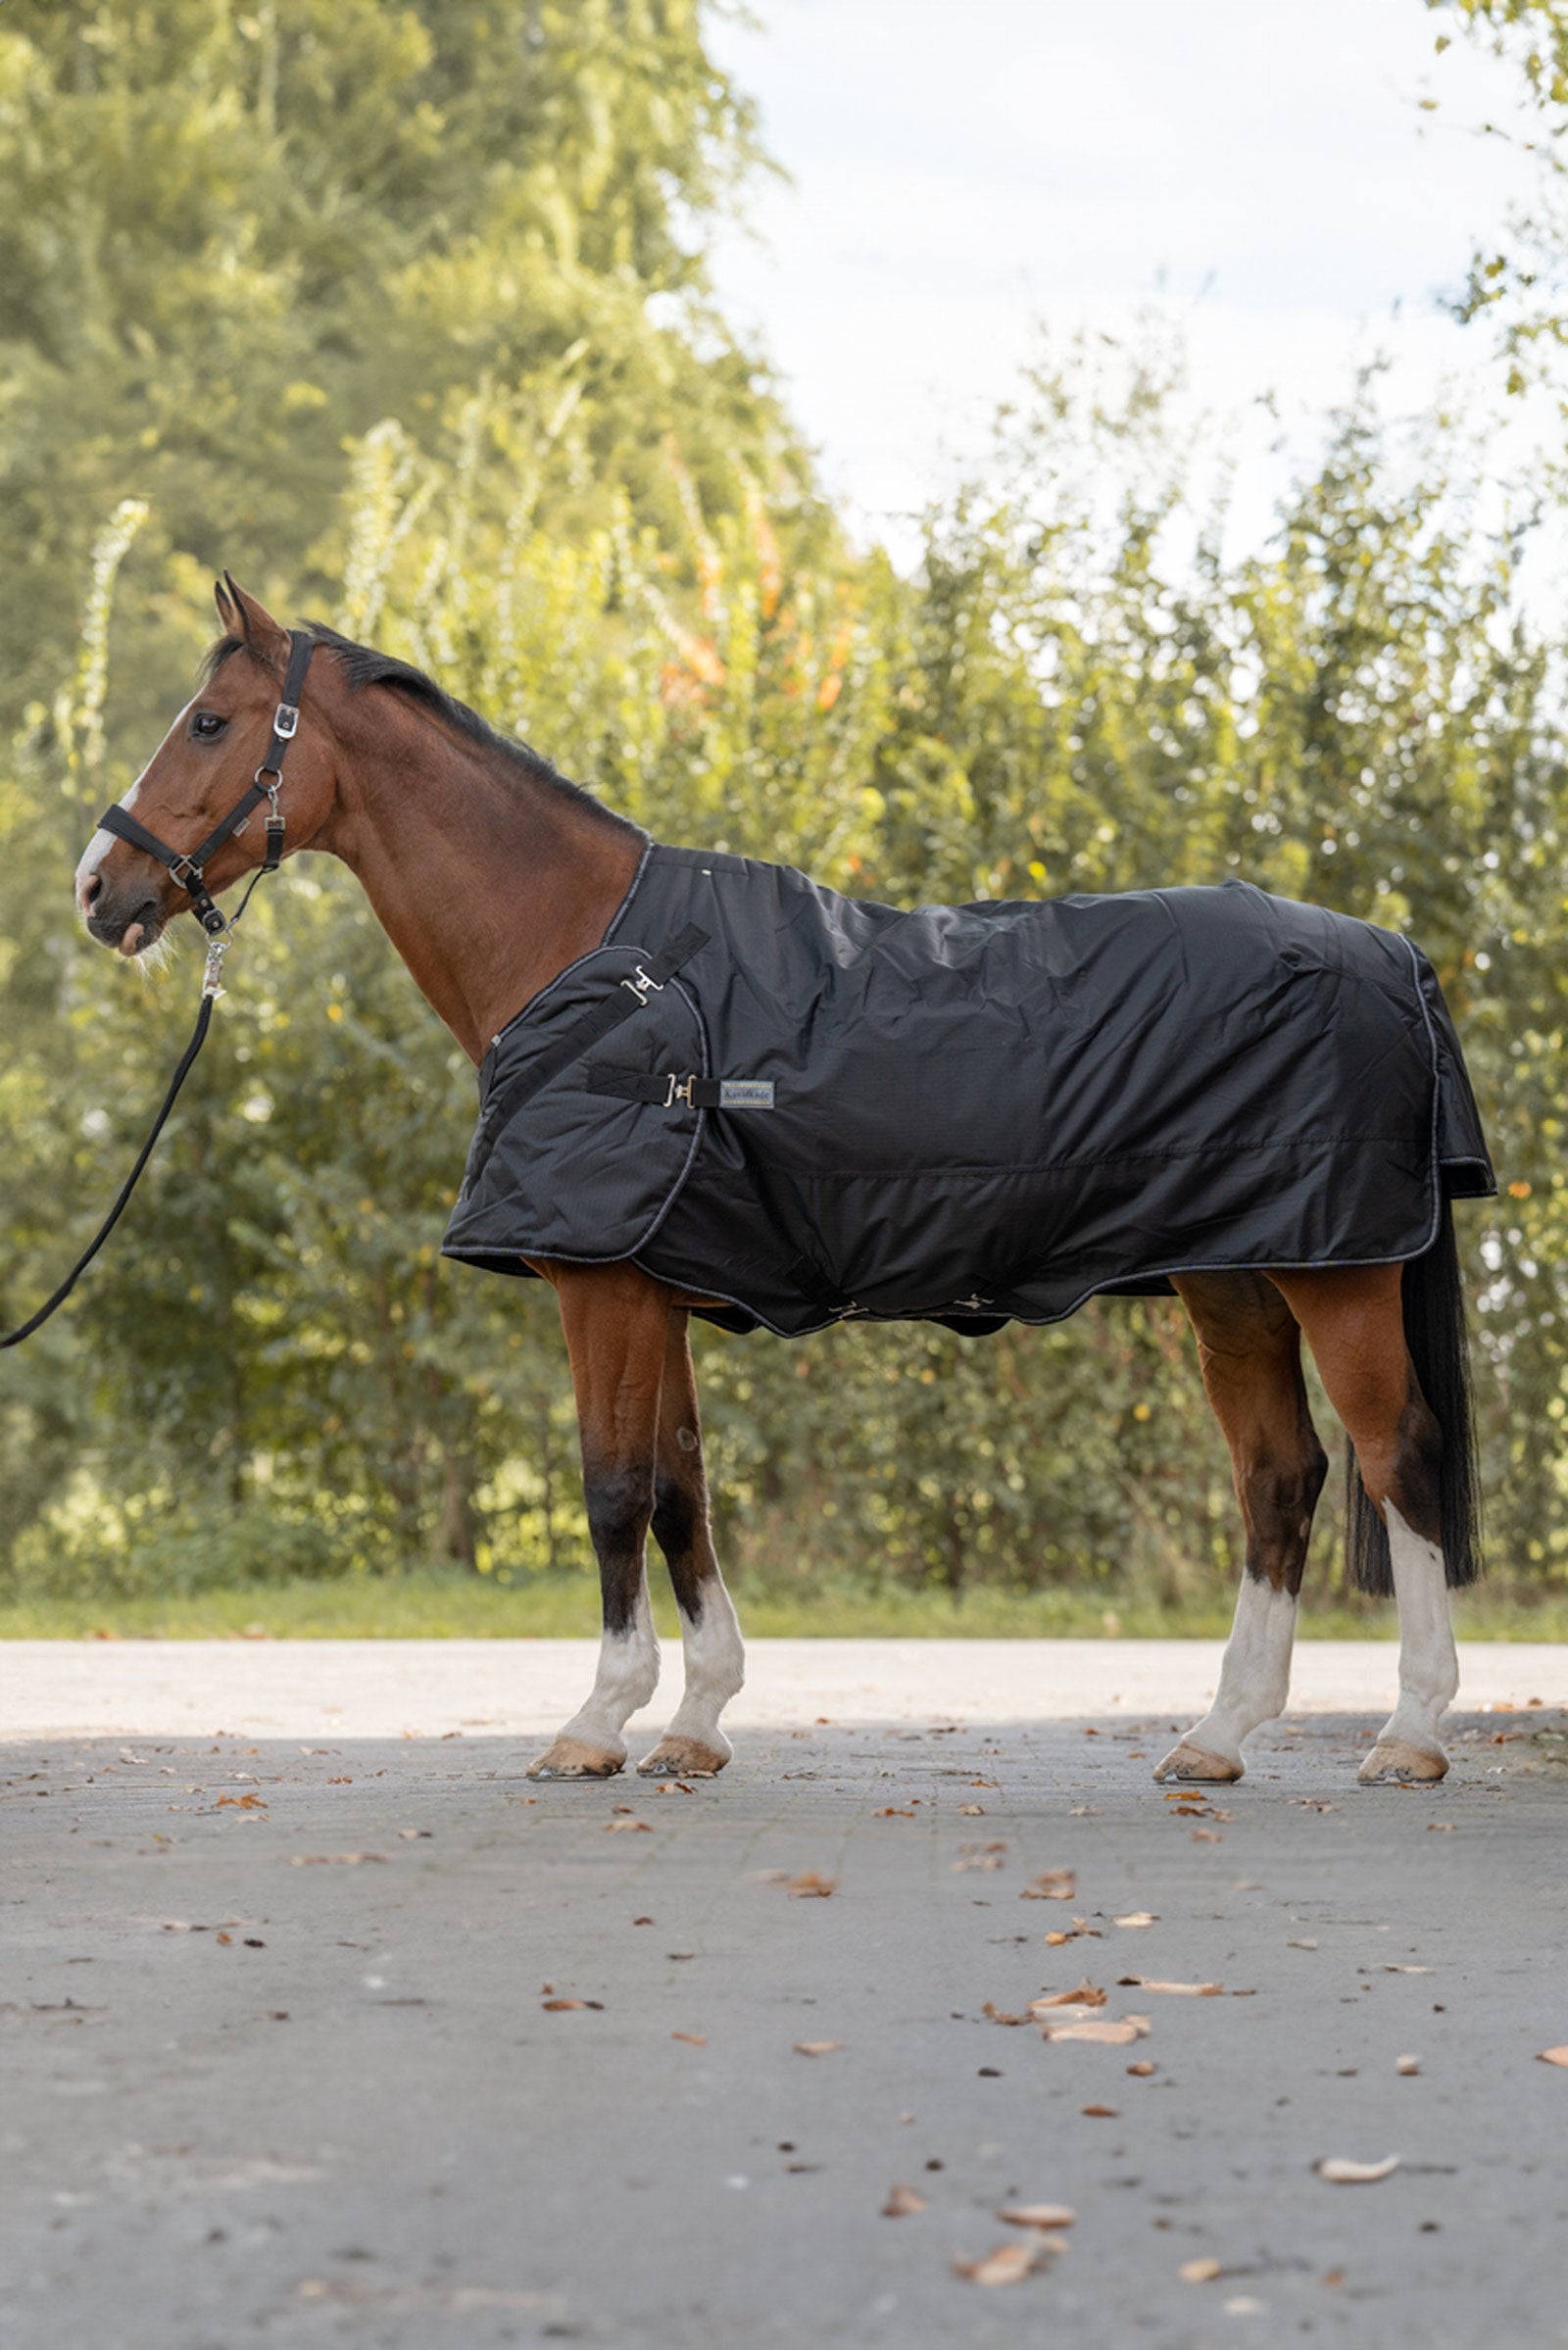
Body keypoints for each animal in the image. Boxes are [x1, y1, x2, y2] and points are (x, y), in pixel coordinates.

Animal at [74, 577, 1490, 1788]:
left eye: (209, 721)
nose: (100, 885)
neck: (589, 951)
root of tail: (1394, 949)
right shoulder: (655, 1284)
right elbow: (681, 1490)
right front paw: (695, 1720)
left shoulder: (601, 1288)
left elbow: (612, 1489)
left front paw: (596, 1722)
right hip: (1234, 1279)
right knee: (1278, 1475)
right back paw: (1217, 1734)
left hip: (1336, 1274)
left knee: (1397, 1458)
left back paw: (1411, 1733)